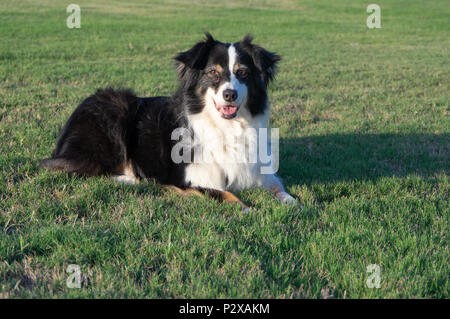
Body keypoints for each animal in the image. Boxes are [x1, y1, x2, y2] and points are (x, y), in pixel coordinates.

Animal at [40, 33, 298, 211]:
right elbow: (225, 194)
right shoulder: (191, 178)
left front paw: (294, 203)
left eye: (242, 72)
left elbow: (278, 186)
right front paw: (247, 209)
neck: (226, 127)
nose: (229, 95)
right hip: (117, 109)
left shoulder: (256, 169)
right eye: (213, 73)